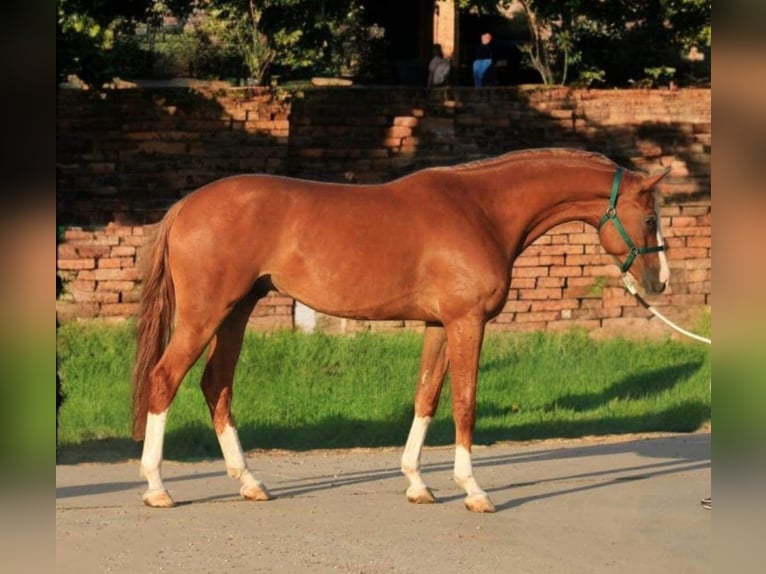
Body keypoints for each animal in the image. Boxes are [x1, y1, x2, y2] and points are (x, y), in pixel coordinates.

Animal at [134, 147, 672, 512]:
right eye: (649, 219)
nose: (660, 282)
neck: (482, 209)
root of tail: (186, 206)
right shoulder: (467, 322)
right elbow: (464, 402)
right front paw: (473, 490)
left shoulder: (439, 323)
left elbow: (426, 396)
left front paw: (417, 483)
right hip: (207, 313)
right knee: (165, 380)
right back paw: (157, 487)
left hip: (237, 312)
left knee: (216, 385)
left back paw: (248, 481)